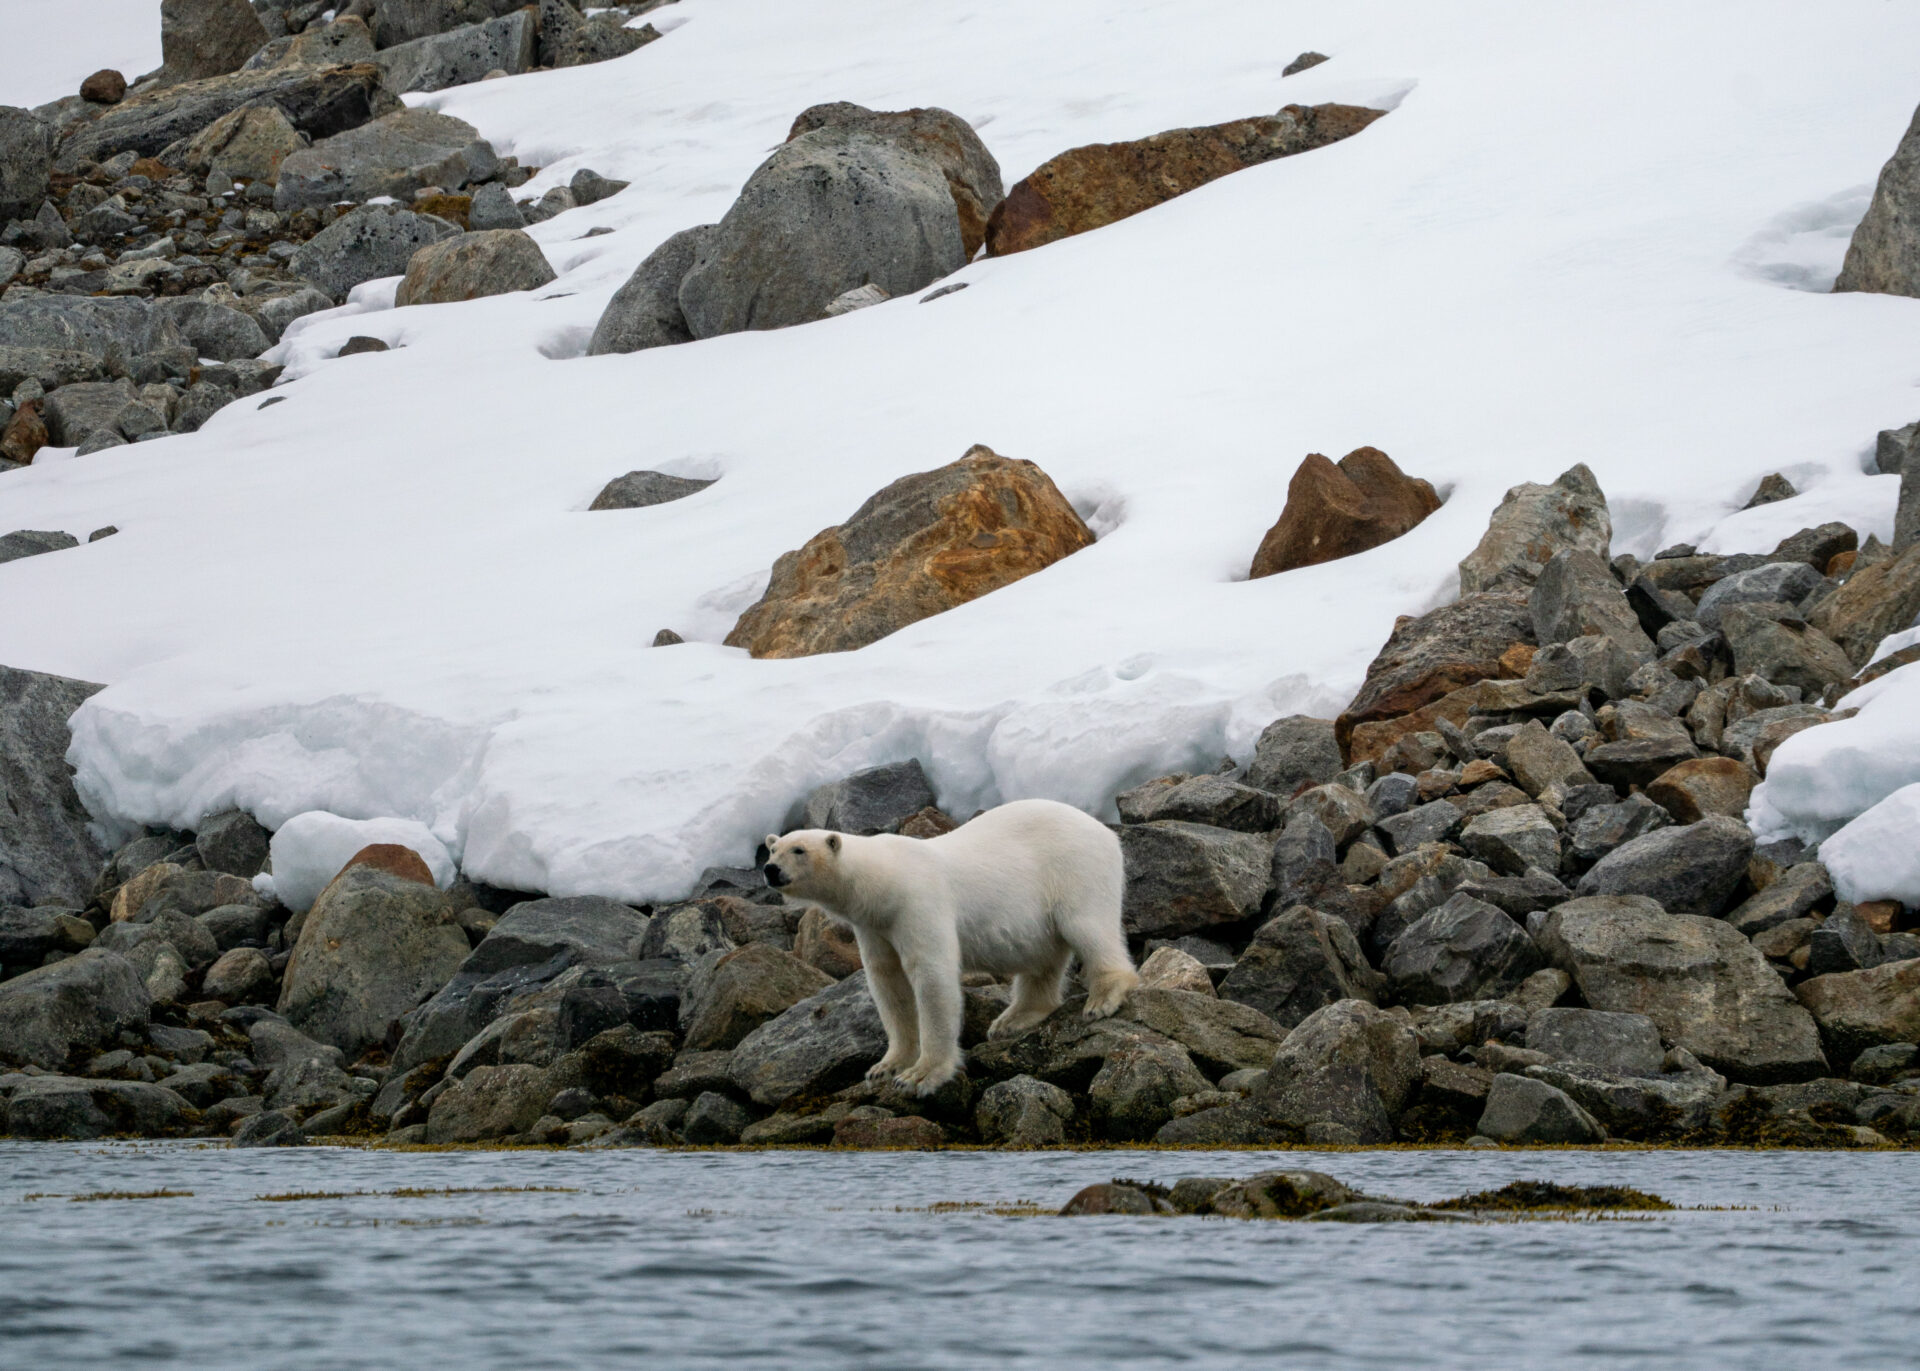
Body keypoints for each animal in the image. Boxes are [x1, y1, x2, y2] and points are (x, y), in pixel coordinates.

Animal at [763, 797, 1138, 1095]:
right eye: (773, 848)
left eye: (799, 850)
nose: (769, 869)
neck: (882, 882)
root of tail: (1106, 831)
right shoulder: (873, 926)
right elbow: (888, 982)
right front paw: (885, 1066)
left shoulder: (917, 903)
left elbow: (931, 977)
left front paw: (921, 1076)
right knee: (1042, 959)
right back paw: (1012, 1019)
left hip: (1074, 869)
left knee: (1087, 925)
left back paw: (1102, 999)